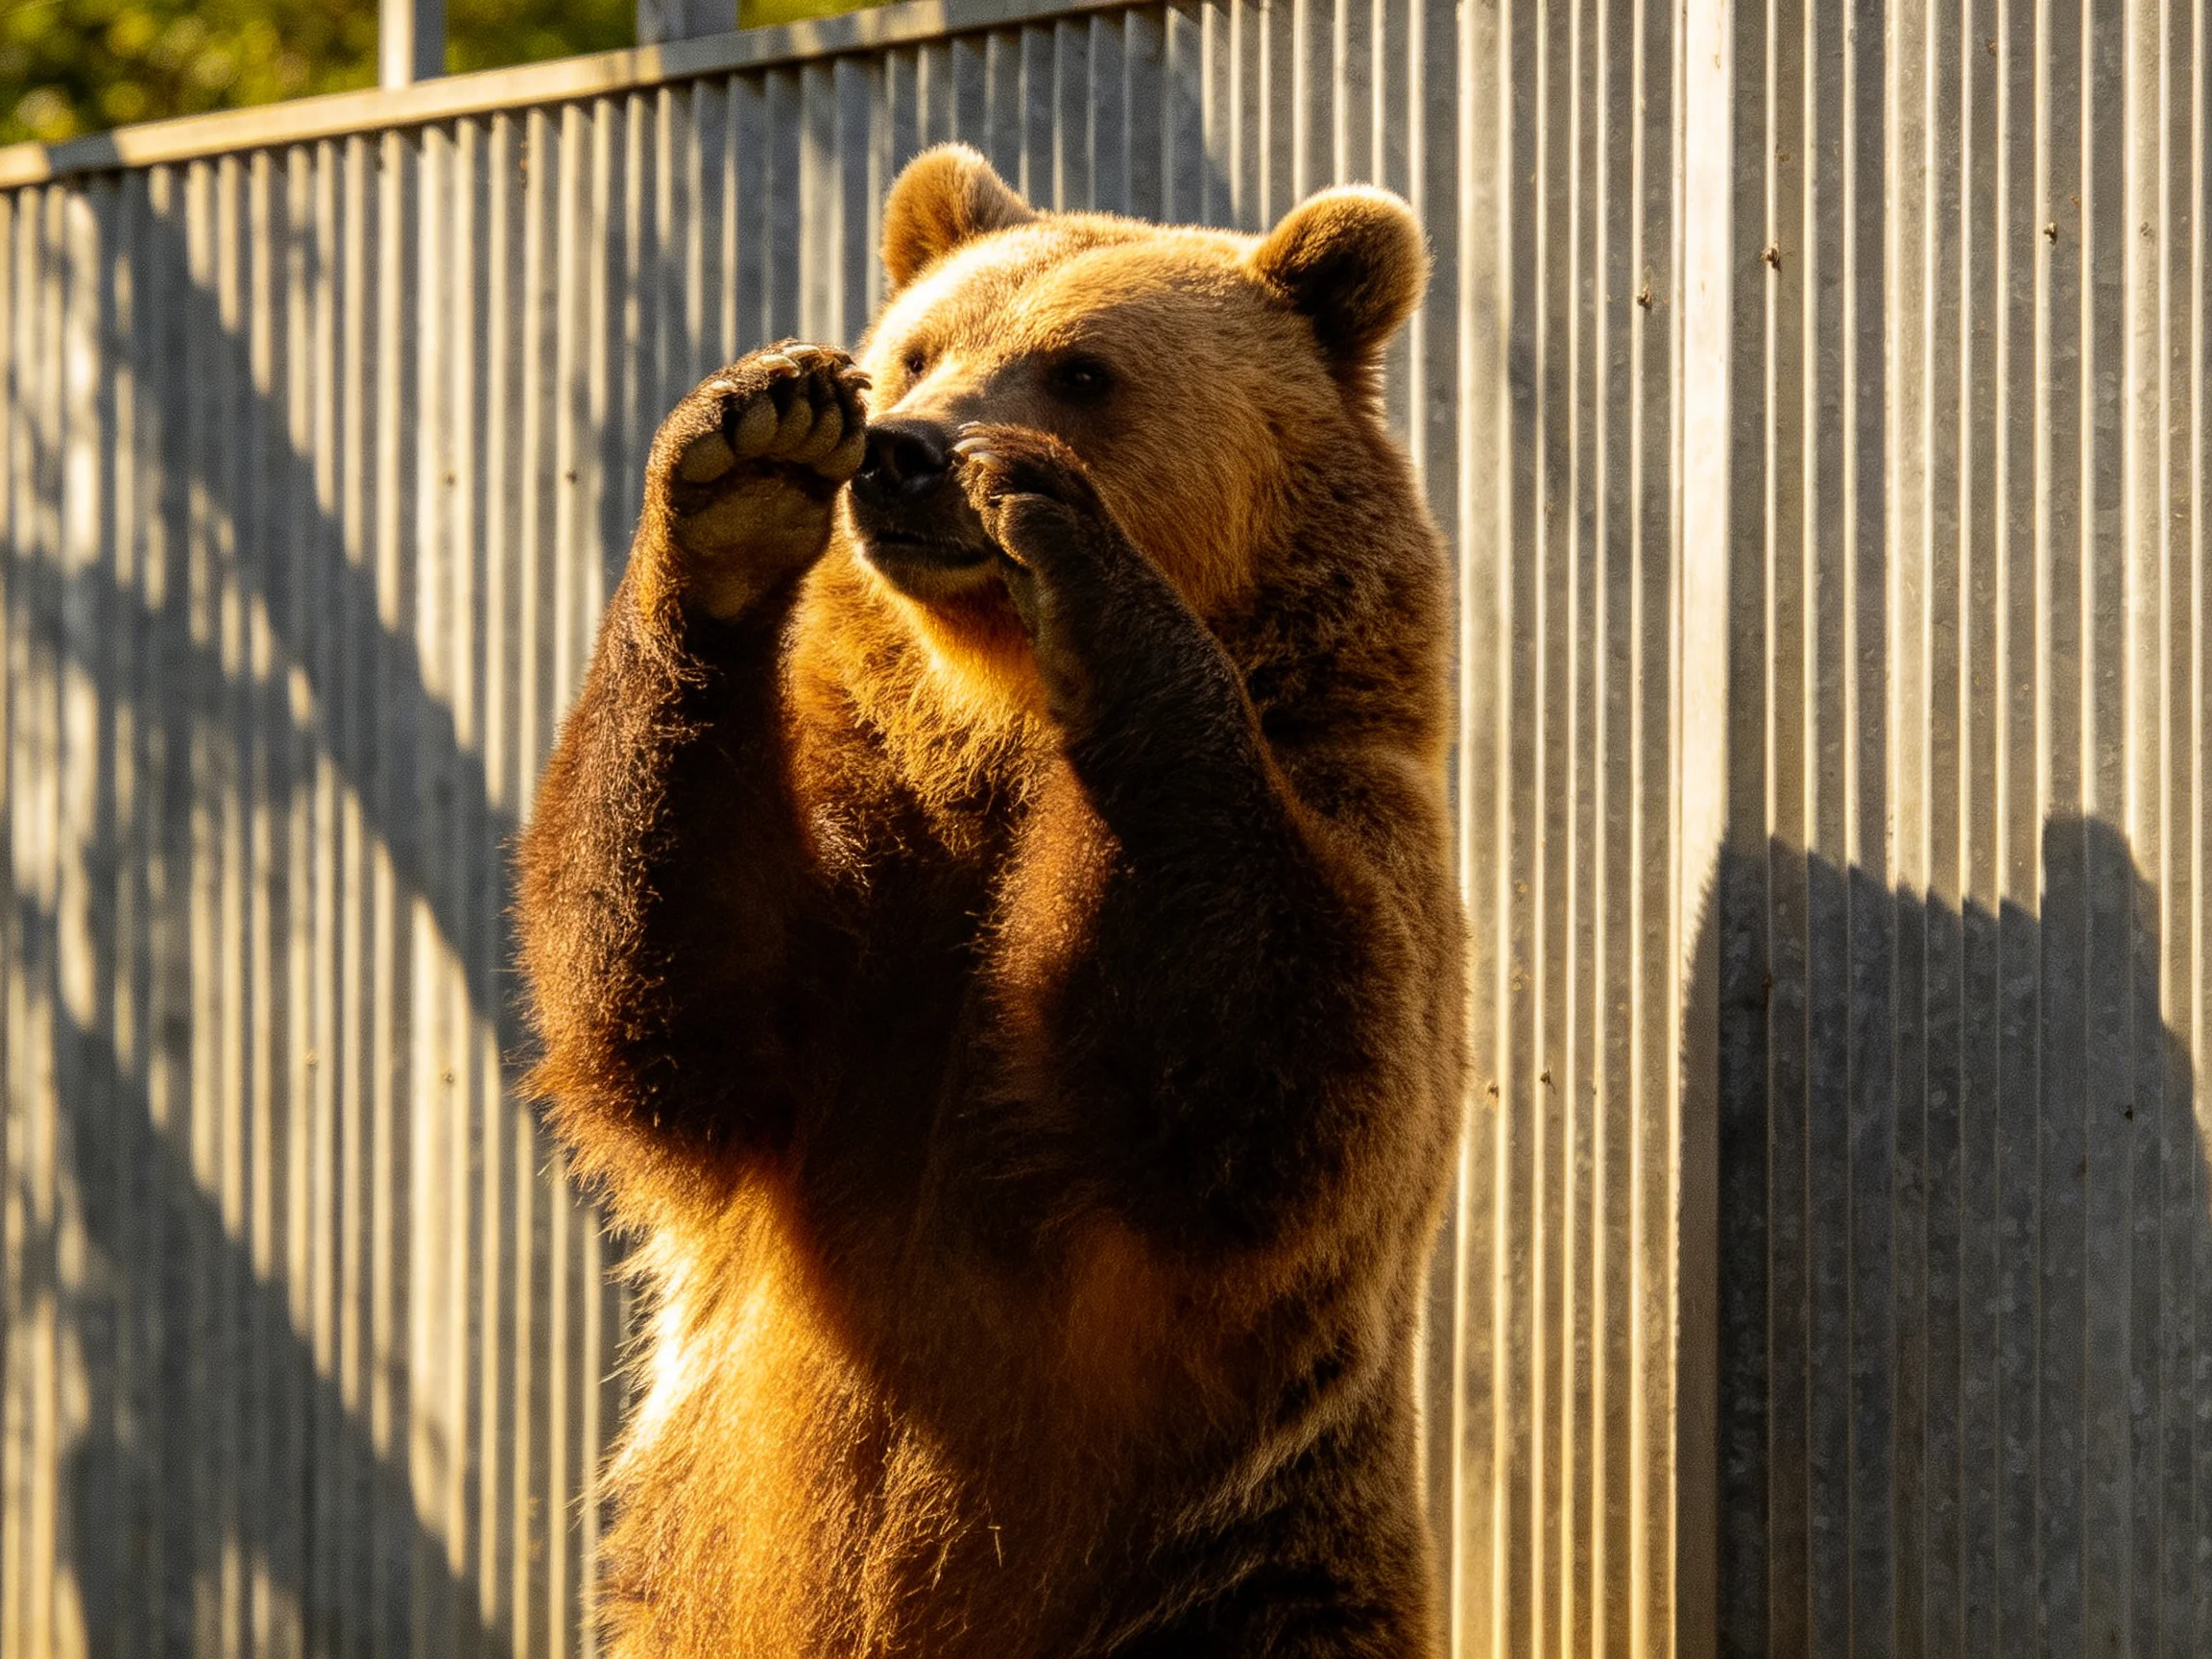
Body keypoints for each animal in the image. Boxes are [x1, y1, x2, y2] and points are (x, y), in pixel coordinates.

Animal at [515, 143, 1465, 1658]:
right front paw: (750, 457)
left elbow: (1266, 1088)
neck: (997, 732)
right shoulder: (873, 875)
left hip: (1239, 1558)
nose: (907, 451)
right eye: (916, 349)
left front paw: (1066, 542)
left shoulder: (1362, 834)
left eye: (1080, 369)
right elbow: (683, 997)